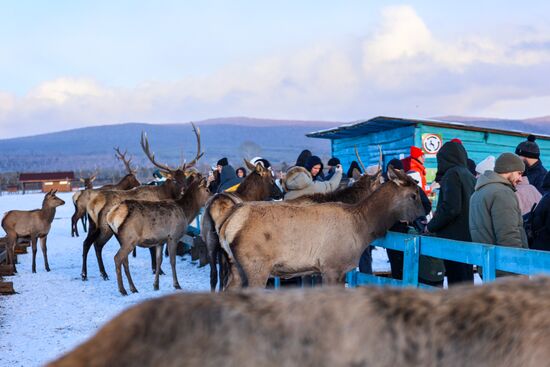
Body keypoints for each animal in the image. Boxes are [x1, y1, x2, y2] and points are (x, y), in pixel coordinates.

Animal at [81, 123, 204, 282]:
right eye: (174, 180)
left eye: (184, 177)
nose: (184, 190)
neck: (163, 194)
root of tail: (92, 204)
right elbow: (154, 249)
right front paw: (158, 270)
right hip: (105, 227)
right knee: (97, 245)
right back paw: (104, 273)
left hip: (92, 225)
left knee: (86, 243)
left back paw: (84, 274)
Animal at [219, 167, 422, 290]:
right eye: (414, 195)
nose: (423, 216)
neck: (362, 228)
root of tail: (228, 223)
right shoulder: (332, 266)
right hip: (256, 265)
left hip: (235, 267)